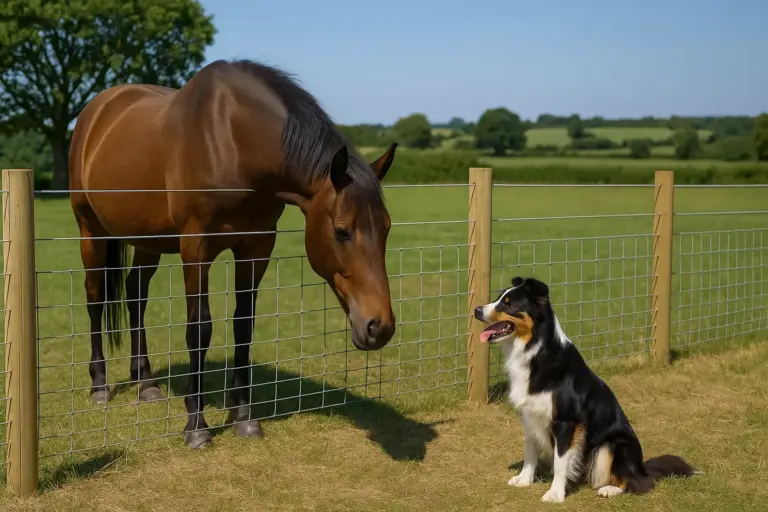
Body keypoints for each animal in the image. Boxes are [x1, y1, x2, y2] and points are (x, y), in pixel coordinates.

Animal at [68, 59, 398, 449]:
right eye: (341, 231)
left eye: (387, 228)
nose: (379, 327)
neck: (232, 142)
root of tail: (96, 112)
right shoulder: (196, 247)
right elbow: (199, 330)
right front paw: (196, 426)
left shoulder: (256, 247)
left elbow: (244, 325)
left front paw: (244, 417)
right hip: (90, 231)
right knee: (95, 298)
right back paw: (99, 385)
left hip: (147, 239)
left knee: (136, 295)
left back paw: (146, 382)